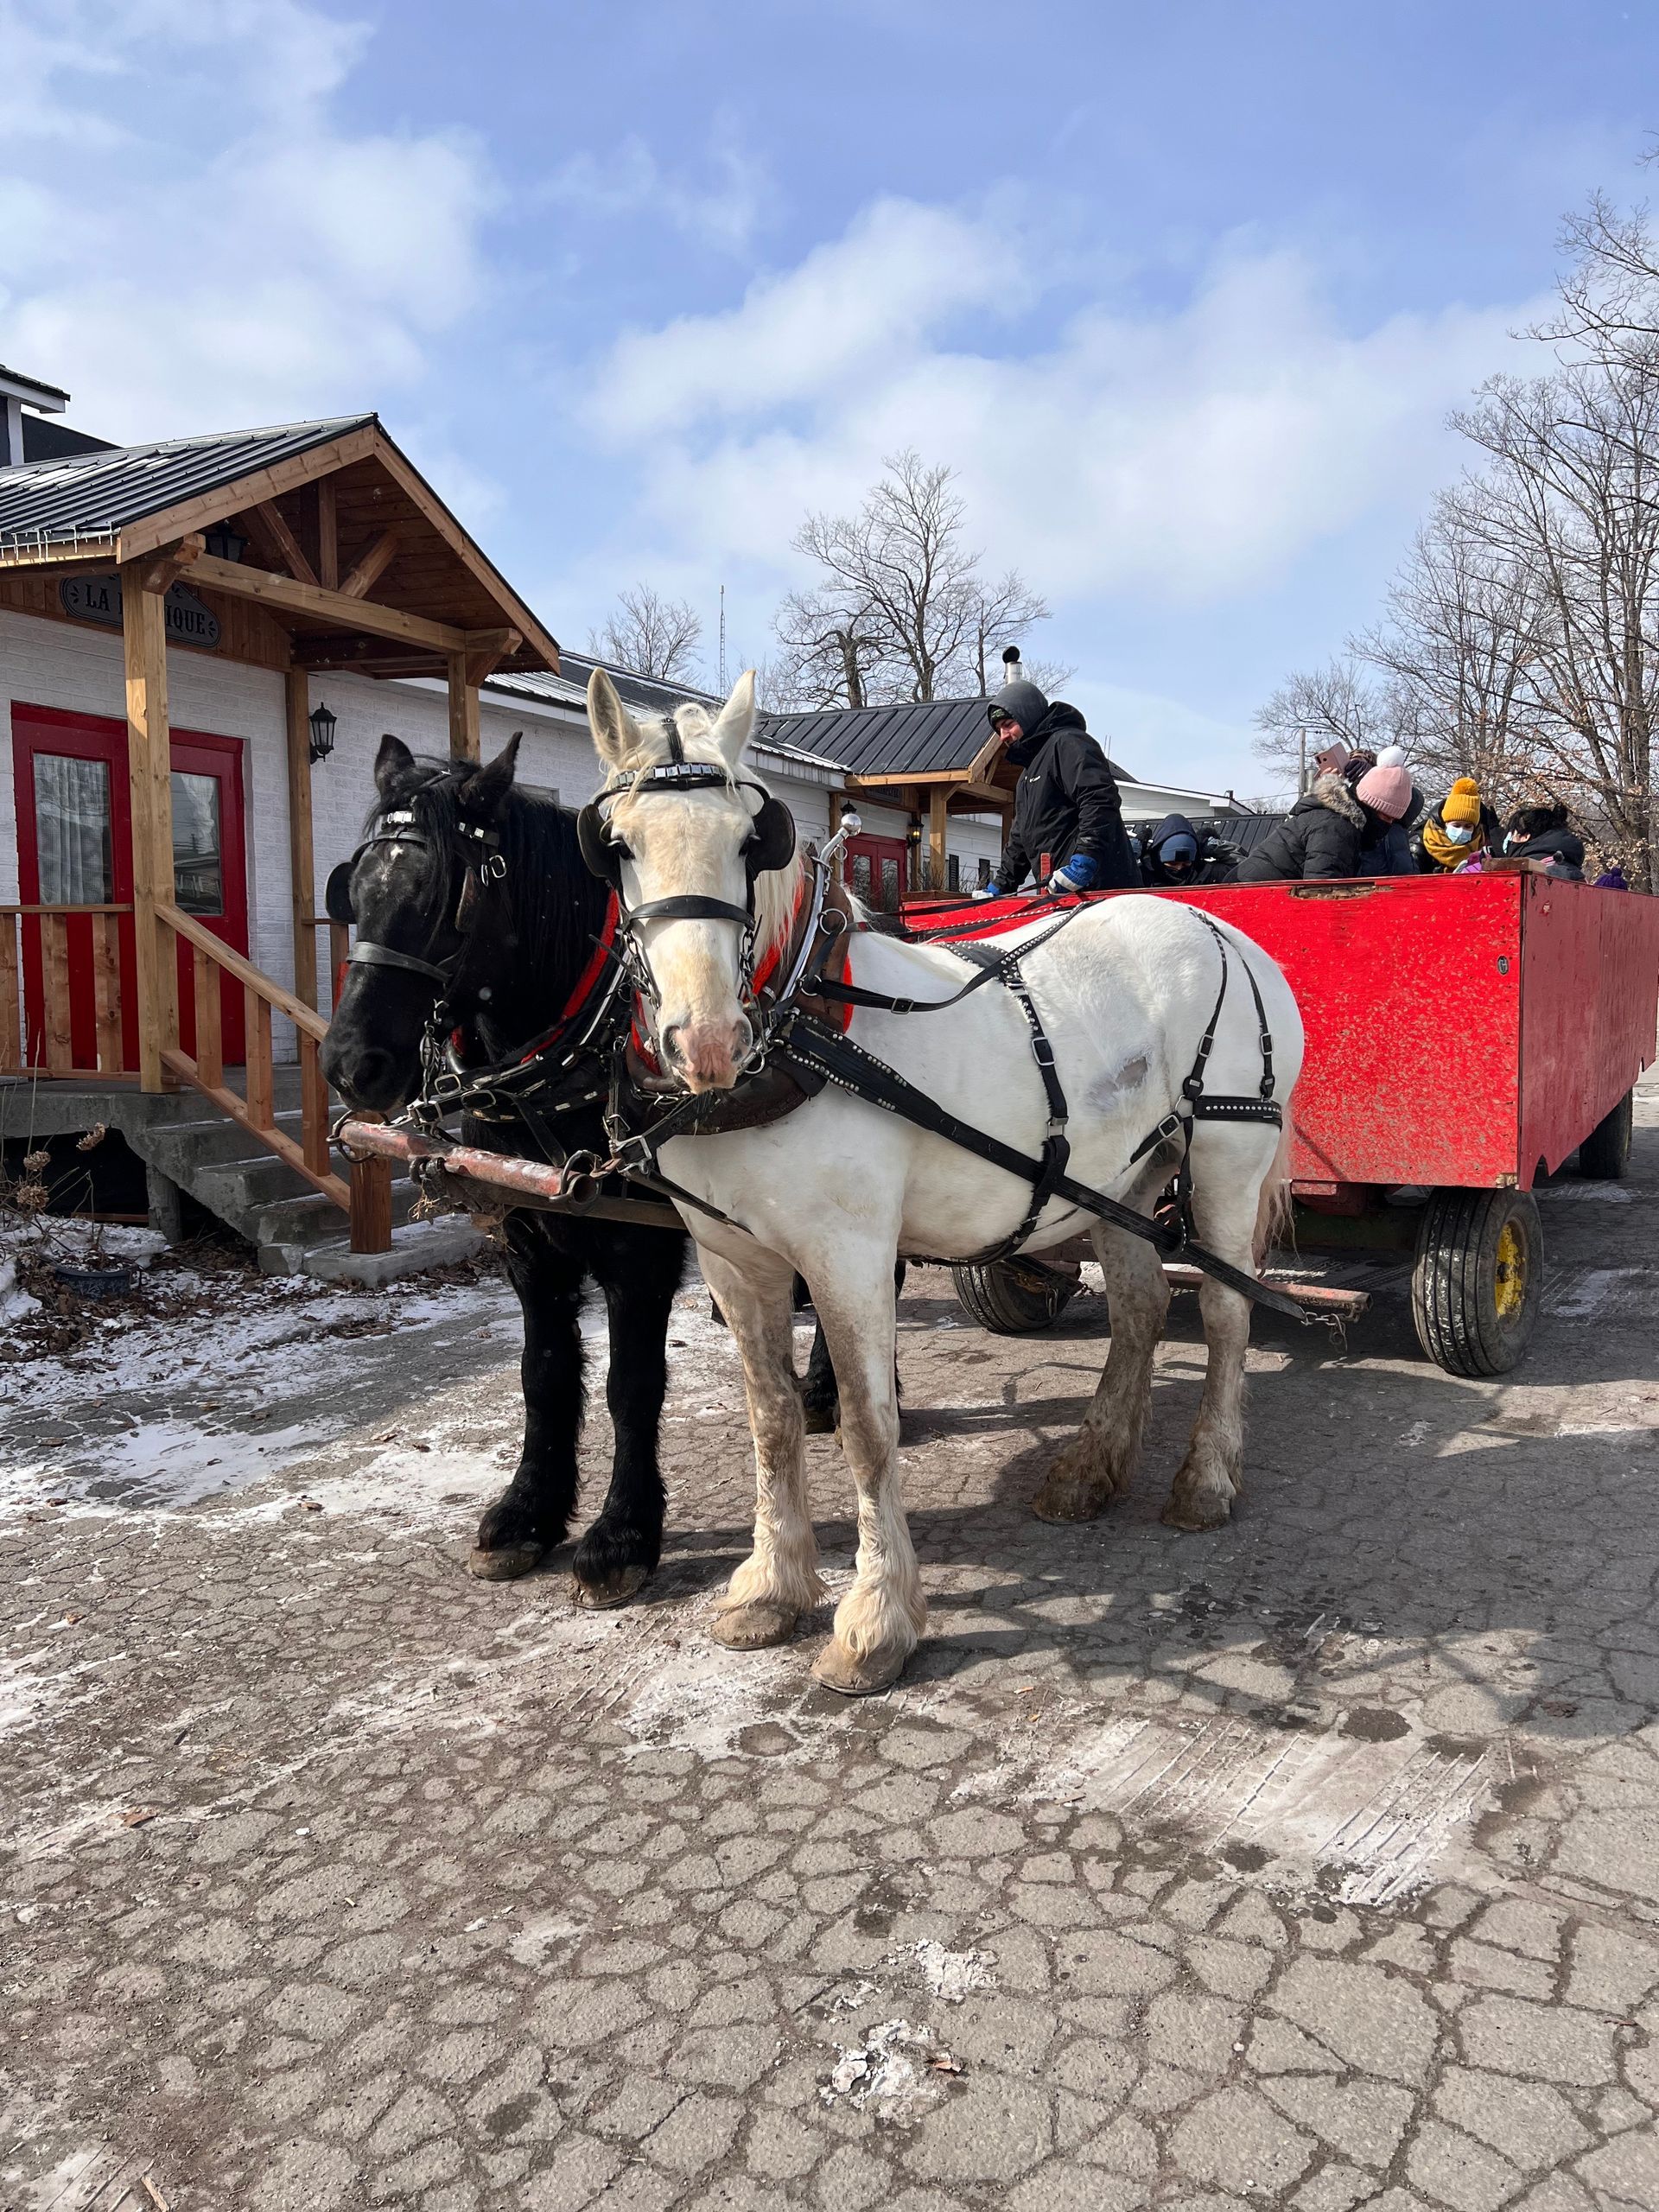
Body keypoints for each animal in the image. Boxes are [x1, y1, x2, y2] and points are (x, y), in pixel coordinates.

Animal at [582, 667, 1306, 1695]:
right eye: (617, 847)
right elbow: (770, 1421)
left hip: (1224, 1164)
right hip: (1128, 1179)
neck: (797, 1030)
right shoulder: (732, 1258)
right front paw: (770, 1586)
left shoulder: (846, 1254)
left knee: (1224, 1315)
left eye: (750, 837)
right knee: (1138, 1309)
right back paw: (1090, 1468)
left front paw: (875, 1621)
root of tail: (1224, 932)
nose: (708, 1040)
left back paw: (1206, 1480)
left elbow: (866, 1426)